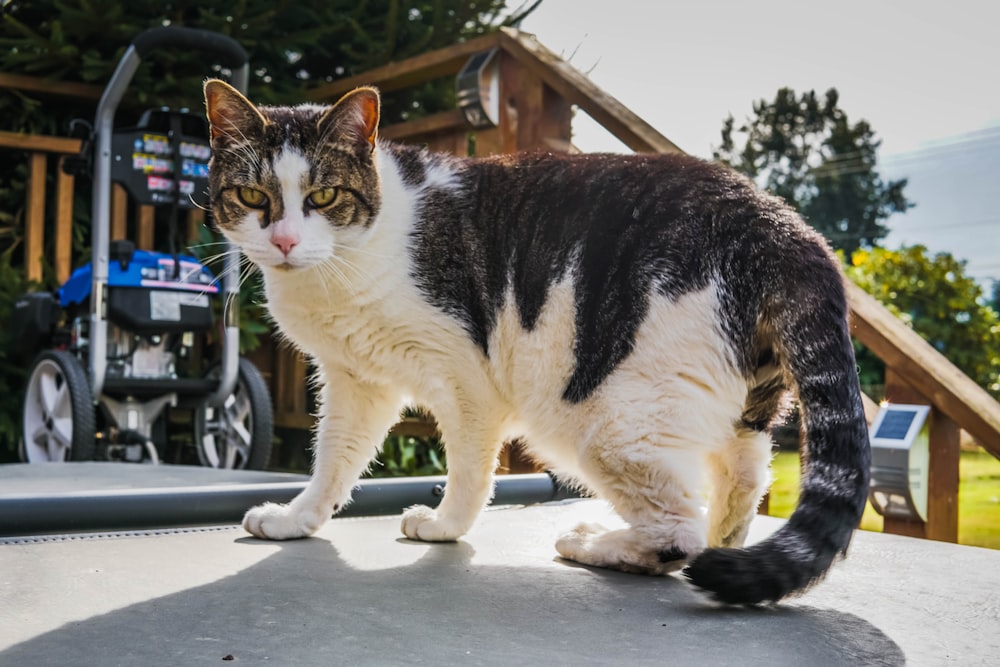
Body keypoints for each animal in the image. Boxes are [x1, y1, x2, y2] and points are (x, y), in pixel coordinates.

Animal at [207, 78, 872, 604]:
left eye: (323, 196)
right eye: (252, 196)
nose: (285, 241)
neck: (338, 268)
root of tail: (777, 222)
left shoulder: (467, 382)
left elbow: (469, 471)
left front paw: (445, 526)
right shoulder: (356, 380)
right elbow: (335, 459)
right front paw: (298, 520)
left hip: (603, 425)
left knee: (676, 532)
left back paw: (593, 543)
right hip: (740, 414)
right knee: (739, 489)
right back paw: (715, 545)